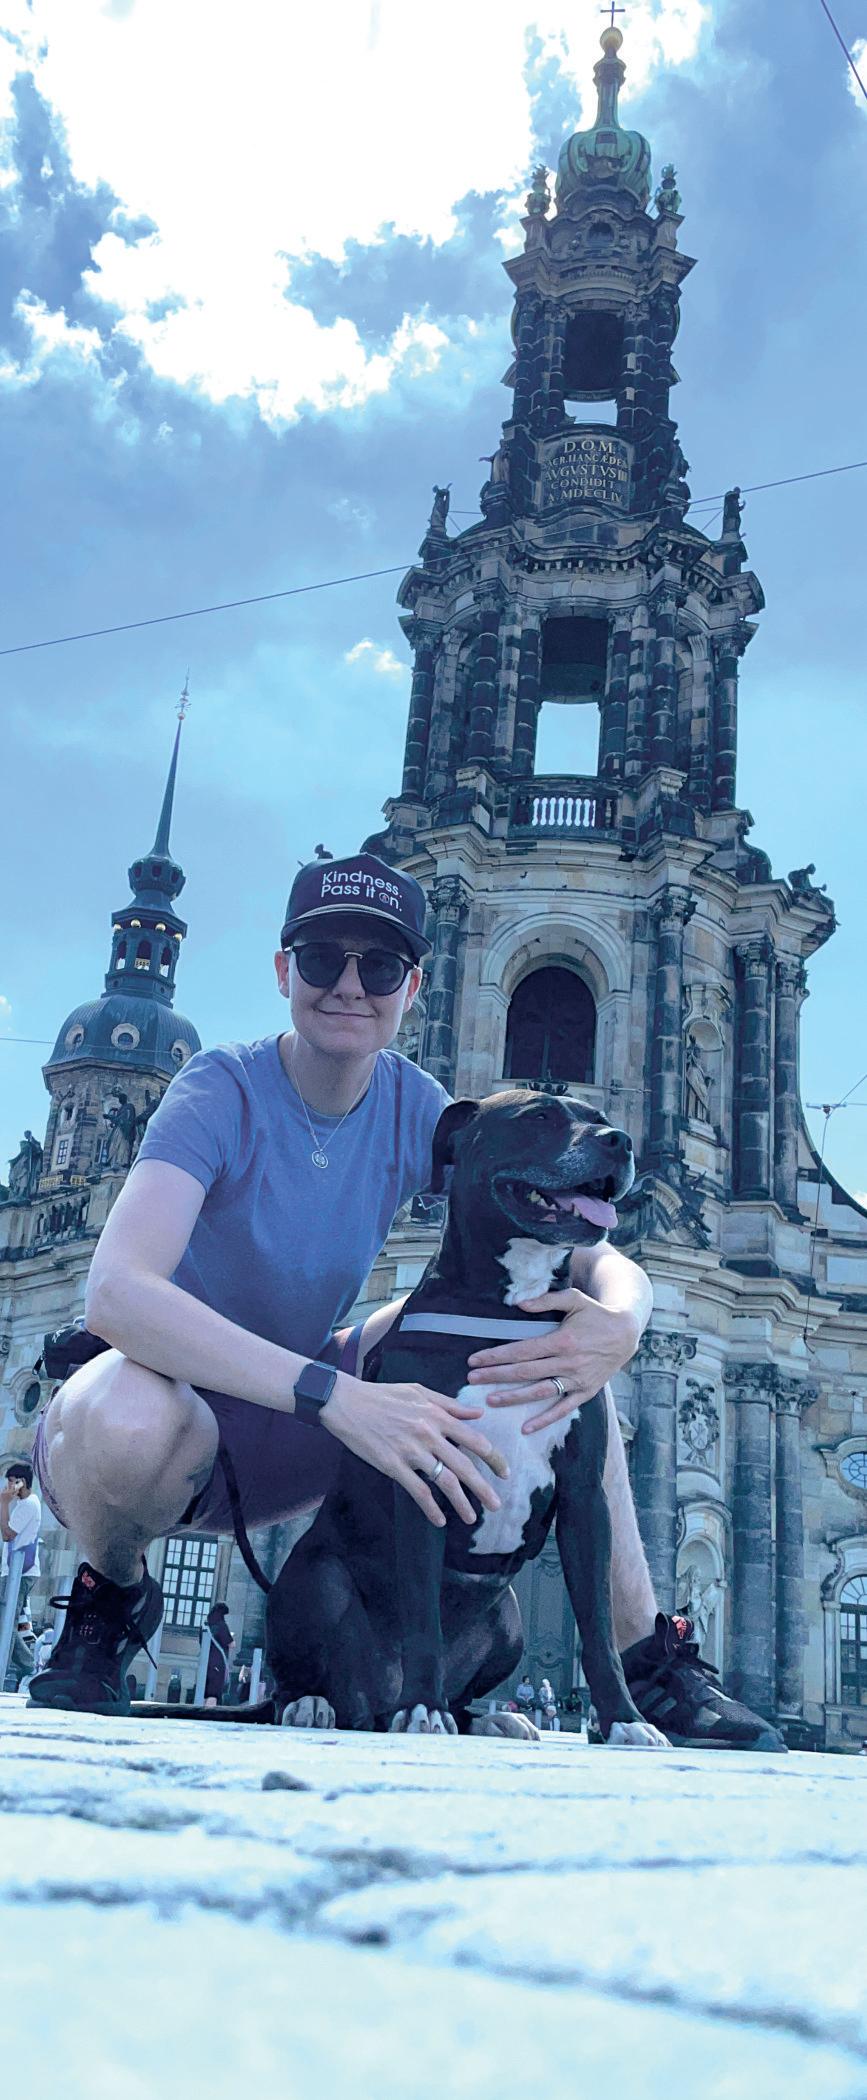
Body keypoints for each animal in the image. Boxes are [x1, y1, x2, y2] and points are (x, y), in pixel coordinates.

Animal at [266, 1091, 668, 1749]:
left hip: (509, 1625)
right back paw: (316, 1704)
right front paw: (422, 1708)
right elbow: (423, 1617)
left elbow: (600, 1627)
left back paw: (493, 1717)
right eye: (538, 1116)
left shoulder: (585, 1499)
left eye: (599, 1116)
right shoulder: (425, 1479)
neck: (506, 1314)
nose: (621, 1141)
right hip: (314, 1582)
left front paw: (625, 1719)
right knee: (315, 1680)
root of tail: (372, 1699)